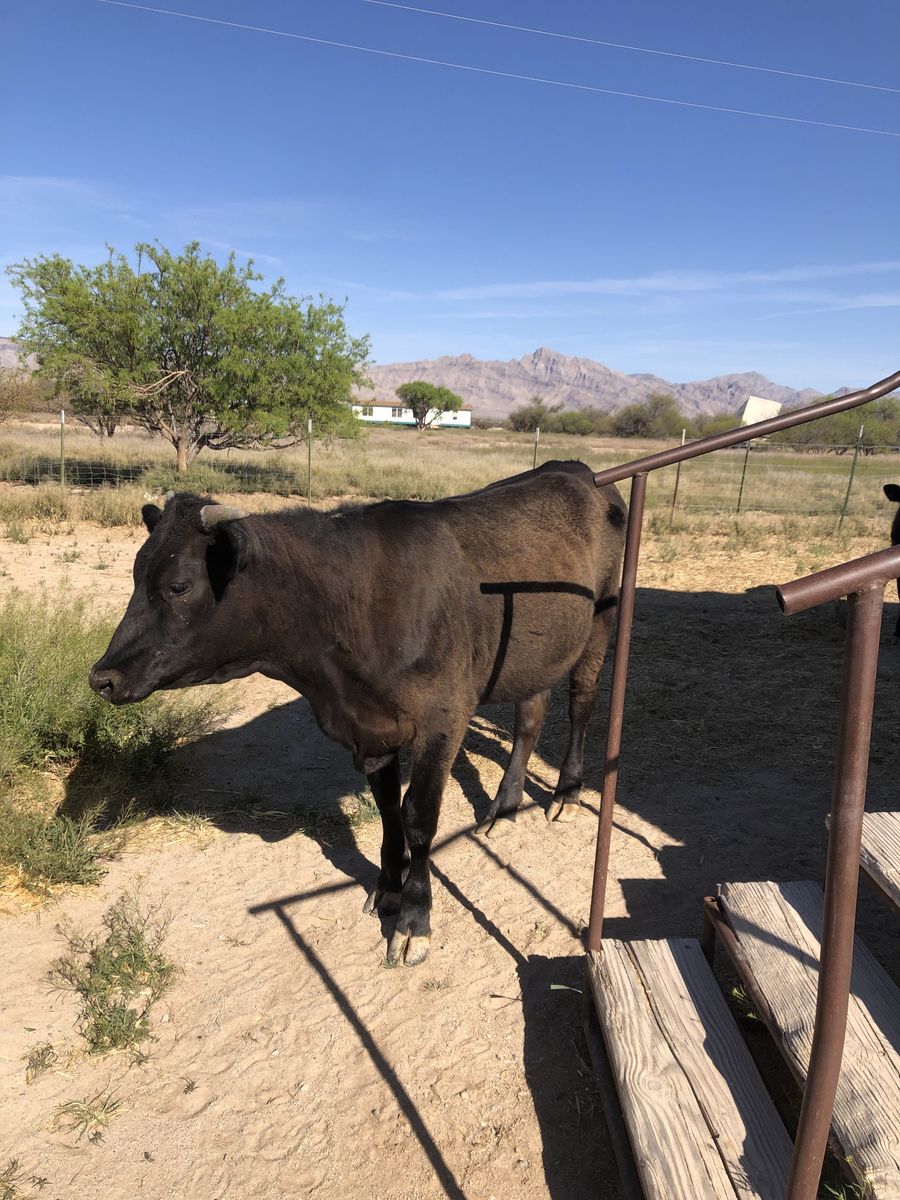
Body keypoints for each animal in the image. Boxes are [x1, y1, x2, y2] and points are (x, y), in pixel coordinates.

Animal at [89, 461, 626, 965]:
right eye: (135, 575)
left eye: (180, 586)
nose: (102, 677)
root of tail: (575, 469)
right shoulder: (370, 729)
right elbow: (388, 810)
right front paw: (387, 888)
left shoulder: (443, 718)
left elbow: (419, 817)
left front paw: (414, 920)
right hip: (533, 652)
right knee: (531, 715)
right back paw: (505, 807)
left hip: (602, 618)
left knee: (581, 701)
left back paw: (567, 793)